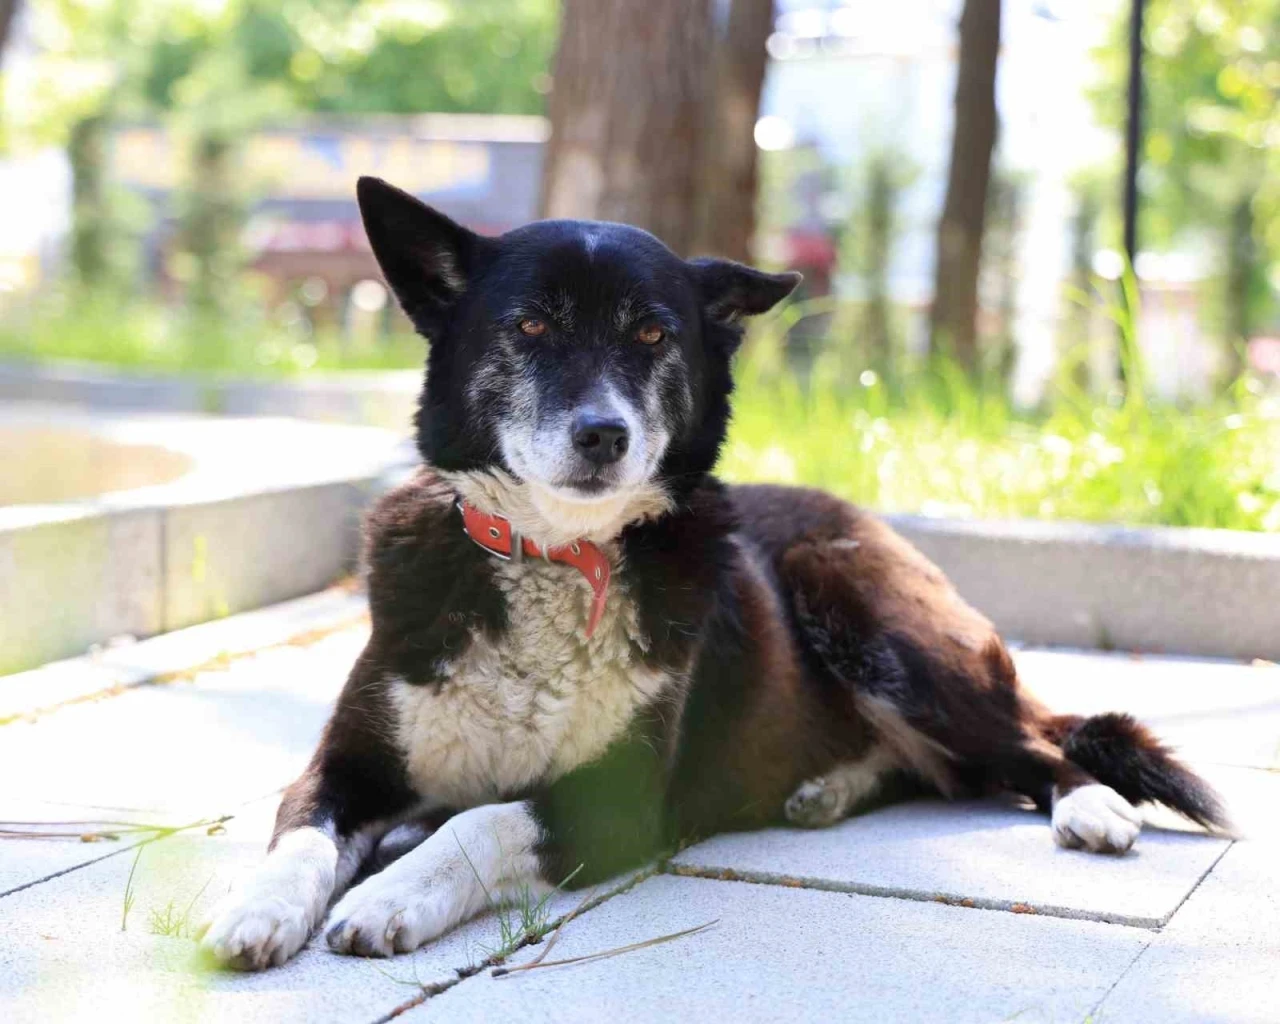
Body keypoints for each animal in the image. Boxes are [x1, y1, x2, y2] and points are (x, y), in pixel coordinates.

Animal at [194, 174, 1223, 967]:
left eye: (653, 336)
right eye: (529, 326)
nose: (603, 435)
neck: (561, 552)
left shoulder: (615, 803)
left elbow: (478, 823)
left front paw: (388, 895)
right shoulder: (346, 765)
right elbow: (300, 834)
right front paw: (258, 908)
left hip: (872, 617)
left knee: (1032, 746)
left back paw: (1087, 807)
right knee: (941, 772)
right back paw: (825, 790)